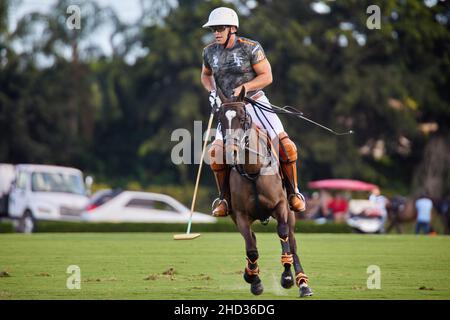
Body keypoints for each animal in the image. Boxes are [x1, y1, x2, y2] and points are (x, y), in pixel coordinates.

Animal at [215, 87, 312, 298]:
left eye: (243, 117)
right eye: (220, 118)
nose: (231, 152)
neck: (253, 170)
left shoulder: (281, 206)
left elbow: (283, 234)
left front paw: (287, 277)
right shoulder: (240, 215)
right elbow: (251, 248)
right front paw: (255, 281)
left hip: (291, 211)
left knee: (292, 241)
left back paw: (303, 284)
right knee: (252, 239)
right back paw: (251, 273)